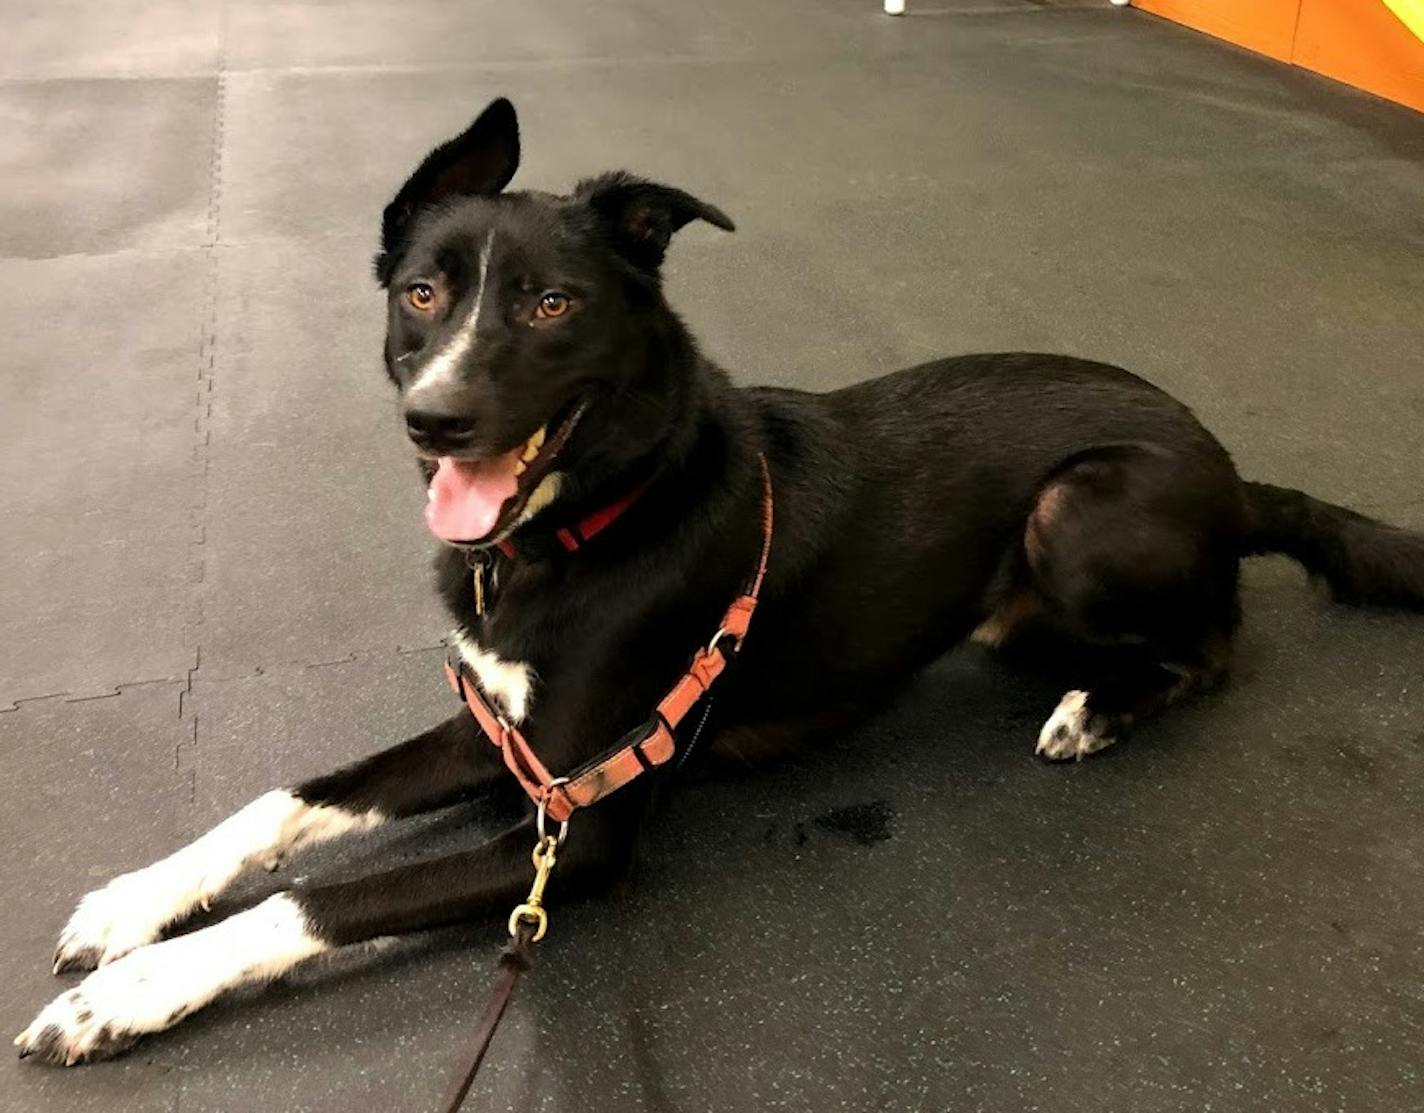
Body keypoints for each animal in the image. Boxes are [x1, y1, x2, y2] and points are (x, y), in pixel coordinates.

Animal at [13, 100, 1424, 1070]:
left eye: (550, 305)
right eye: (421, 292)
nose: (434, 420)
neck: (583, 526)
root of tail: (1227, 469)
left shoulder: (577, 830)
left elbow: (314, 896)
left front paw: (125, 993)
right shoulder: (506, 743)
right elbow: (287, 804)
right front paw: (134, 904)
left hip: (1076, 512)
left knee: (1215, 646)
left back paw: (1095, 709)